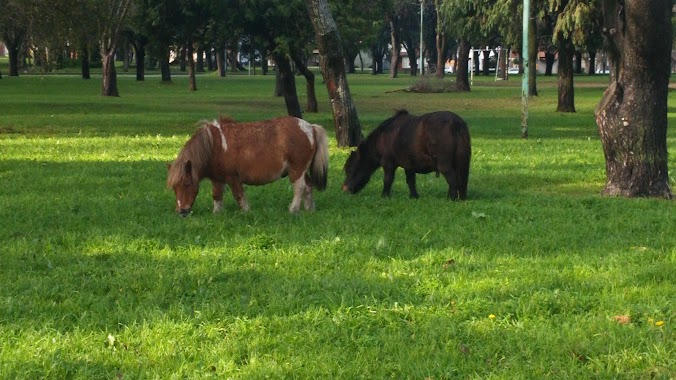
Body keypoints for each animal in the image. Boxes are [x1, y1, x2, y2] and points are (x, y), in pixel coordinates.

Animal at [168, 116, 328, 215]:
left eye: (187, 184)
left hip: (297, 171)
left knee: (300, 188)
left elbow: (238, 195)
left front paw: (246, 211)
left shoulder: (232, 177)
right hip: (302, 171)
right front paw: (217, 213)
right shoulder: (217, 179)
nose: (181, 211)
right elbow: (217, 195)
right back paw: (309, 209)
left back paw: (293, 210)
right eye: (174, 188)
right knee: (308, 187)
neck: (214, 146)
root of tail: (310, 127)